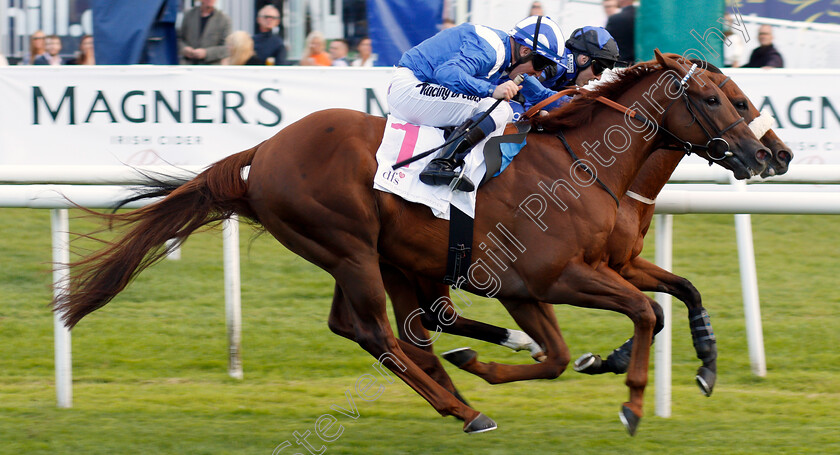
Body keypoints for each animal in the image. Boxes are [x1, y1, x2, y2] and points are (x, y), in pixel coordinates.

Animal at [54, 51, 768, 436]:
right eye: (716, 99)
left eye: (742, 95)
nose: (770, 155)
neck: (583, 164)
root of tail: (267, 149)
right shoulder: (549, 278)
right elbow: (629, 320)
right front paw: (632, 402)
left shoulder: (593, 268)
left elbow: (673, 294)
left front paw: (702, 365)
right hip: (349, 246)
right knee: (380, 332)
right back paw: (464, 406)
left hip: (373, 254)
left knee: (387, 325)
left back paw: (465, 382)